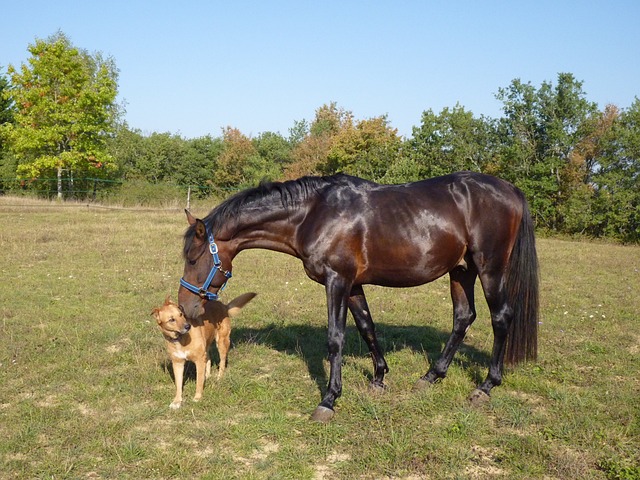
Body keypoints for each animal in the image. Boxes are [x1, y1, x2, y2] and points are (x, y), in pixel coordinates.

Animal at [178, 171, 536, 422]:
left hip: (490, 269)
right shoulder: (352, 285)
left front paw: (329, 400)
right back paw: (431, 377)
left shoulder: (337, 281)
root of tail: (511, 190)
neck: (313, 214)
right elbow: (367, 327)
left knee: (500, 318)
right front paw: (379, 379)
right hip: (461, 271)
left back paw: (486, 386)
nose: (185, 307)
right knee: (463, 317)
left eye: (193, 258)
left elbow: (336, 338)